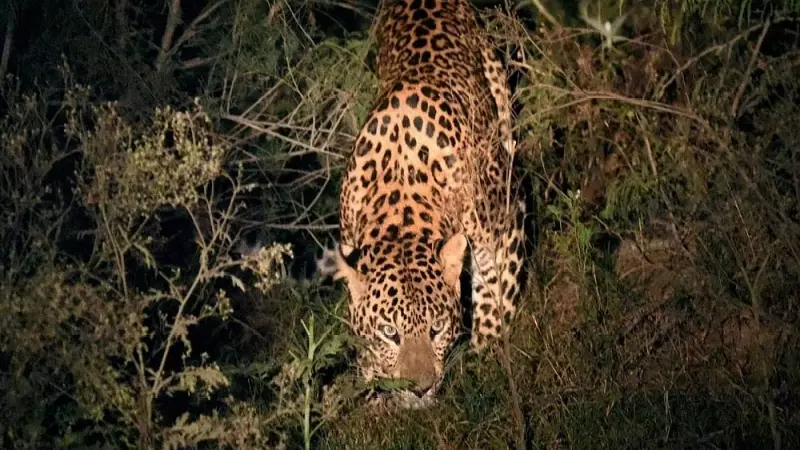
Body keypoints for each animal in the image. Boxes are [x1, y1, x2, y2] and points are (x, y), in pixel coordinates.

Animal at [317, 0, 526, 409]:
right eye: (388, 332)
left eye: (437, 328)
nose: (420, 389)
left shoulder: (506, 222)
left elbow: (495, 301)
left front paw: (487, 360)